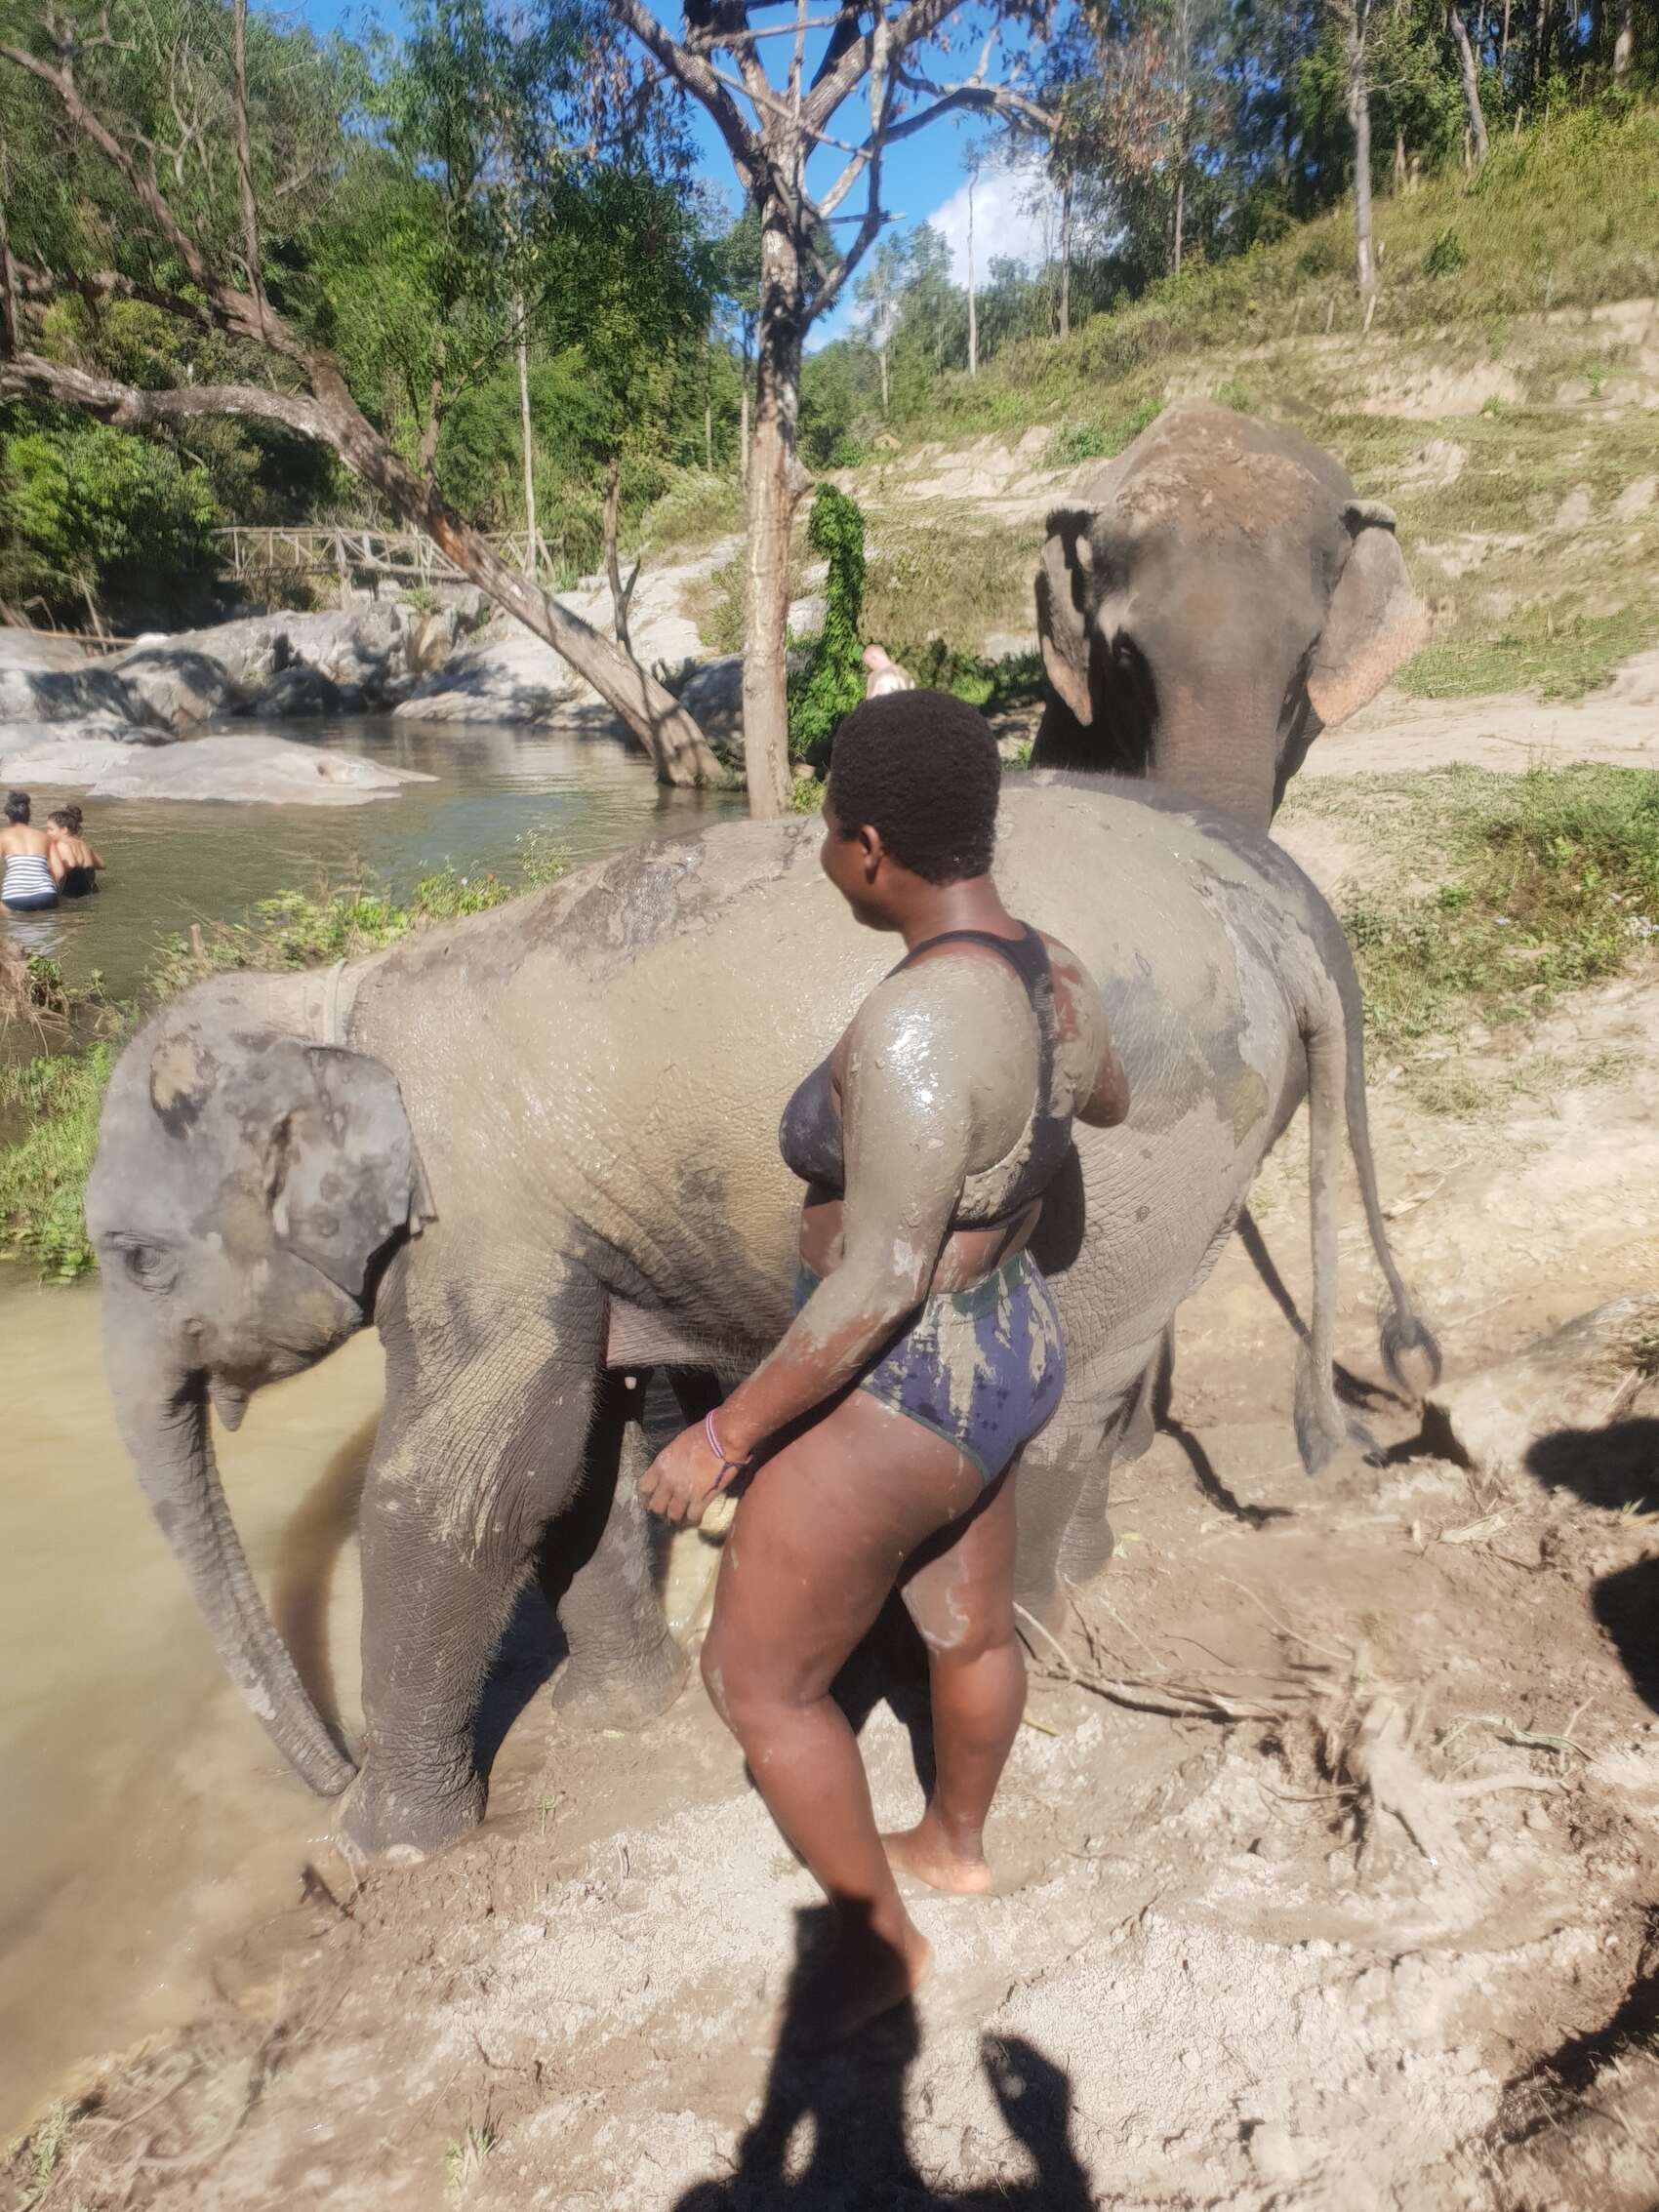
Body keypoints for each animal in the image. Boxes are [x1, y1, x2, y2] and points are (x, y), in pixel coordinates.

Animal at [85, 775, 1437, 1858]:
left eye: (136, 1259)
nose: (325, 1775)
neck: (324, 1003)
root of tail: (1280, 917)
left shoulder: (476, 1222)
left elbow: (465, 1485)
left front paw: (388, 1848)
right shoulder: (564, 1228)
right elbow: (578, 1456)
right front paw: (616, 1716)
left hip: (1153, 1156)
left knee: (1062, 1403)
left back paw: (1028, 1641)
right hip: (1200, 1166)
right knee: (1110, 1377)